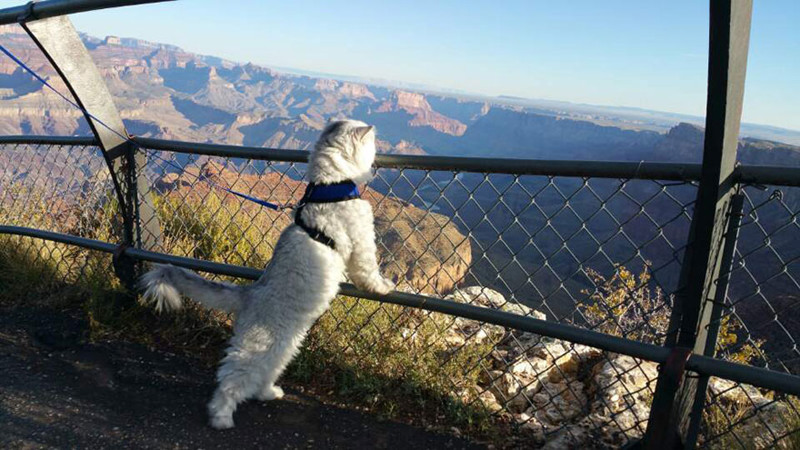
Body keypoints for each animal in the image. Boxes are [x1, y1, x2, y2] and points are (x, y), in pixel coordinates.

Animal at [142, 118, 398, 428]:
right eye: (372, 144)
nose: (378, 158)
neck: (328, 187)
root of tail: (249, 293)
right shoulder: (361, 243)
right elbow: (369, 272)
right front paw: (385, 285)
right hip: (255, 349)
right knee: (230, 380)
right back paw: (221, 417)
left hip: (283, 349)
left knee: (264, 374)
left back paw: (268, 393)